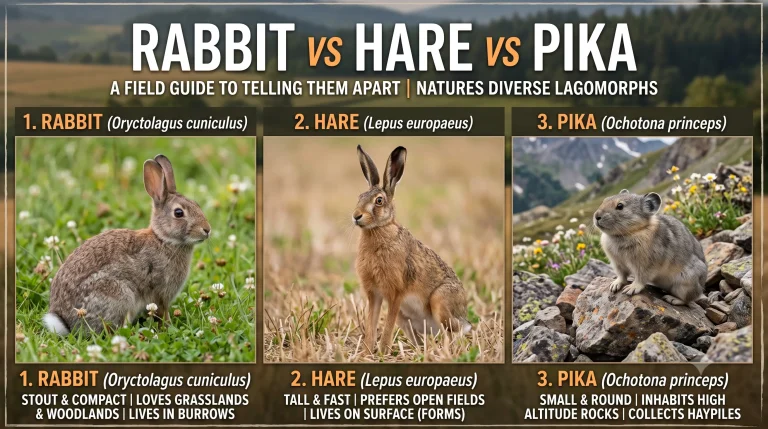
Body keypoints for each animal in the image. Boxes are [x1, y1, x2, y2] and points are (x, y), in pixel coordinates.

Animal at [42, 154, 211, 335]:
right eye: (178, 213)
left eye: (196, 204)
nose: (207, 230)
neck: (163, 239)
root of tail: (66, 323)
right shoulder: (161, 293)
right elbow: (162, 312)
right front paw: (167, 327)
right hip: (118, 295)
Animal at [353, 145, 471, 354]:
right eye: (359, 197)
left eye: (379, 201)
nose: (356, 216)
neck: (381, 229)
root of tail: (464, 319)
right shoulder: (374, 294)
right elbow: (371, 325)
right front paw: (367, 352)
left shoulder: (396, 293)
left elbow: (387, 327)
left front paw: (382, 352)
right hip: (405, 317)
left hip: (440, 301)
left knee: (451, 335)